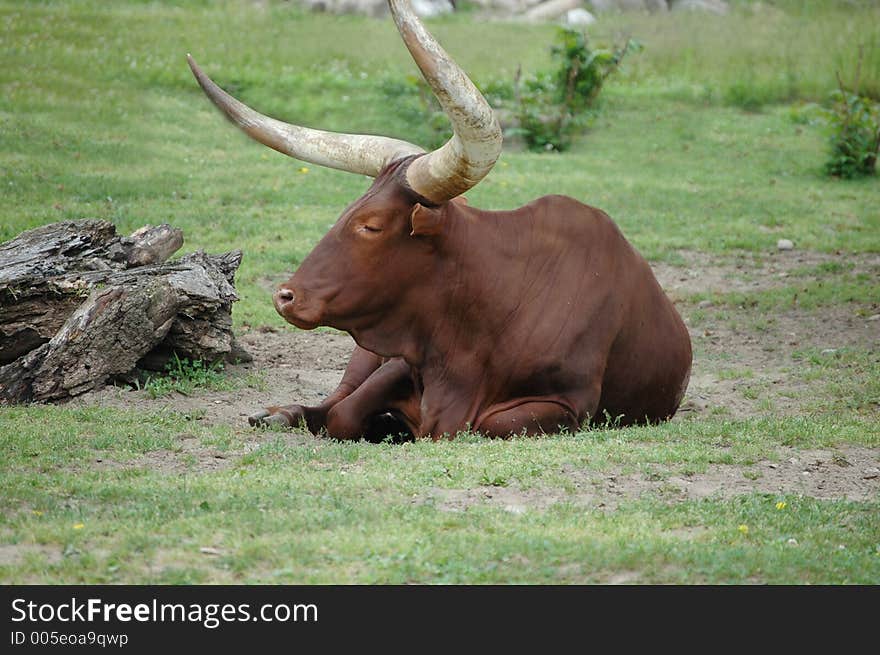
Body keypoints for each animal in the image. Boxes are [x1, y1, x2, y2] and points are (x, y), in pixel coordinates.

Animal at [189, 1, 692, 440]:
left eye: (371, 224)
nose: (286, 296)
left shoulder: (569, 405)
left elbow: (477, 425)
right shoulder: (401, 359)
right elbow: (344, 414)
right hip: (363, 357)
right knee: (332, 399)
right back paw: (278, 414)